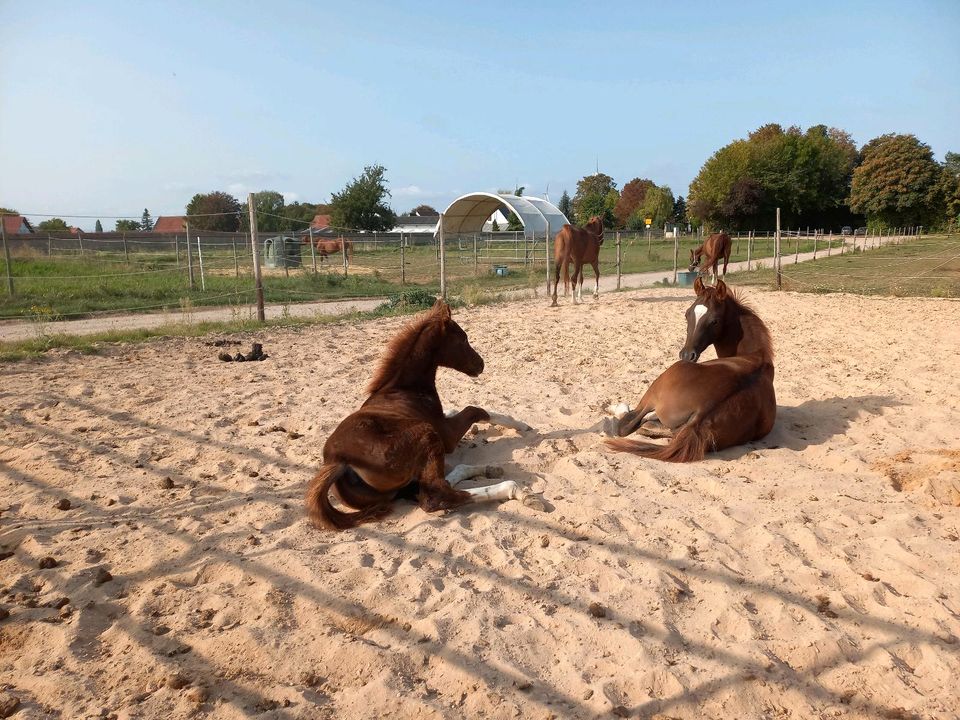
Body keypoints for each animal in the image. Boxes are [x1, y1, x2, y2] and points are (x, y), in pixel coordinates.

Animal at [306, 298, 540, 528]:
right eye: (463, 339)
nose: (481, 364)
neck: (403, 389)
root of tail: (339, 463)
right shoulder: (447, 436)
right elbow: (475, 409)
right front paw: (521, 425)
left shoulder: (441, 422)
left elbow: (455, 410)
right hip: (426, 435)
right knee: (435, 496)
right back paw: (517, 491)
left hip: (401, 485)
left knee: (434, 485)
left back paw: (490, 469)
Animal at [608, 278, 780, 464]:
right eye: (687, 314)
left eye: (715, 321)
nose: (687, 355)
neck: (756, 354)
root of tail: (703, 411)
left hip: (652, 392)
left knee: (629, 424)